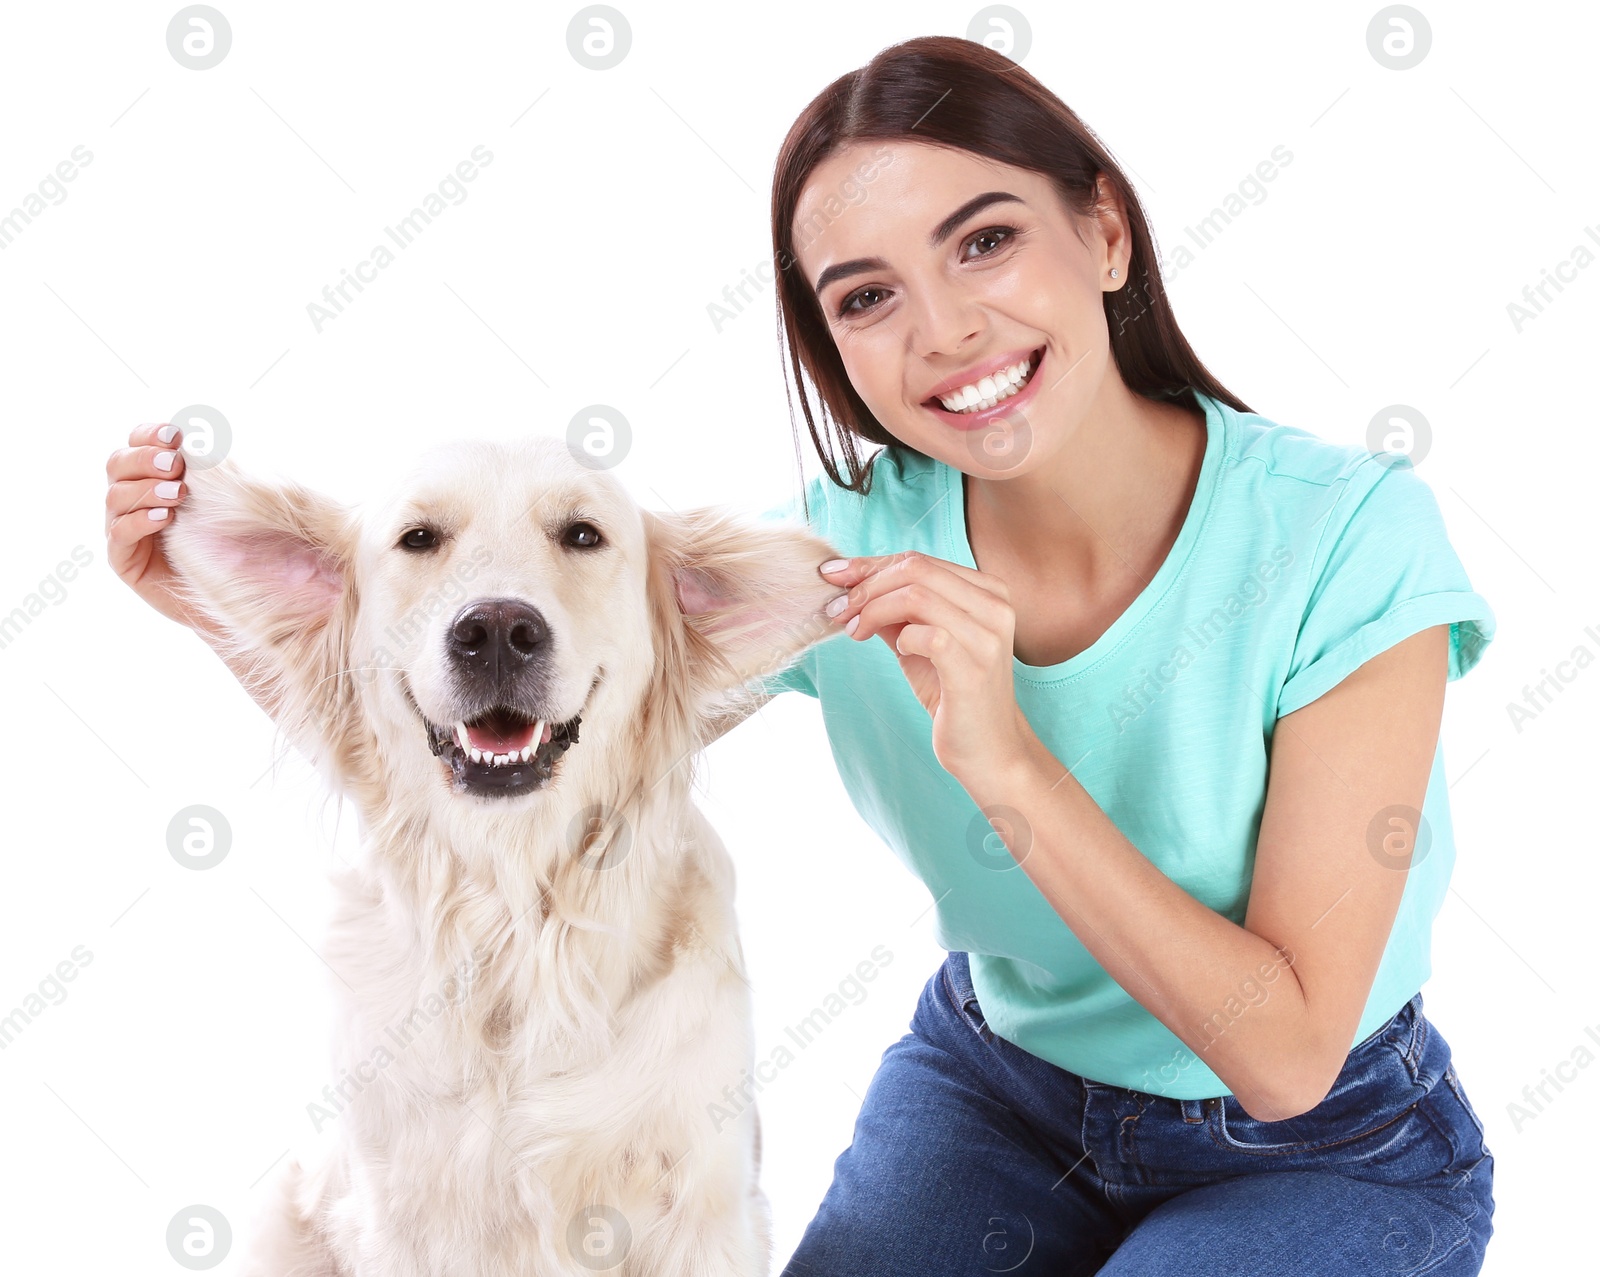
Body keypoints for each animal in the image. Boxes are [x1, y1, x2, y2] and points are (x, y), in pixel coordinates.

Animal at [157, 435, 844, 1273]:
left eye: (582, 534)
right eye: (419, 537)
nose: (493, 630)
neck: (514, 917)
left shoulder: (704, 1211)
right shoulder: (401, 1214)